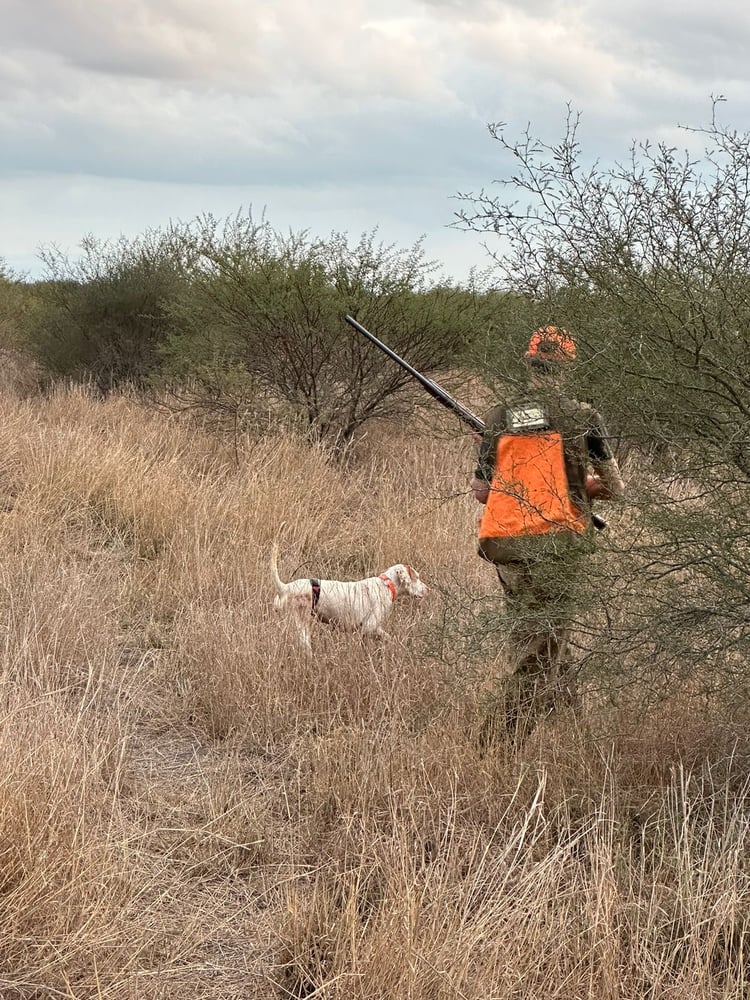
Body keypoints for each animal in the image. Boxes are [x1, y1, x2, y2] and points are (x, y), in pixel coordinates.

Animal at [274, 544, 432, 652]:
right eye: (417, 577)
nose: (428, 590)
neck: (387, 585)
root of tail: (287, 587)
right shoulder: (369, 627)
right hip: (301, 623)